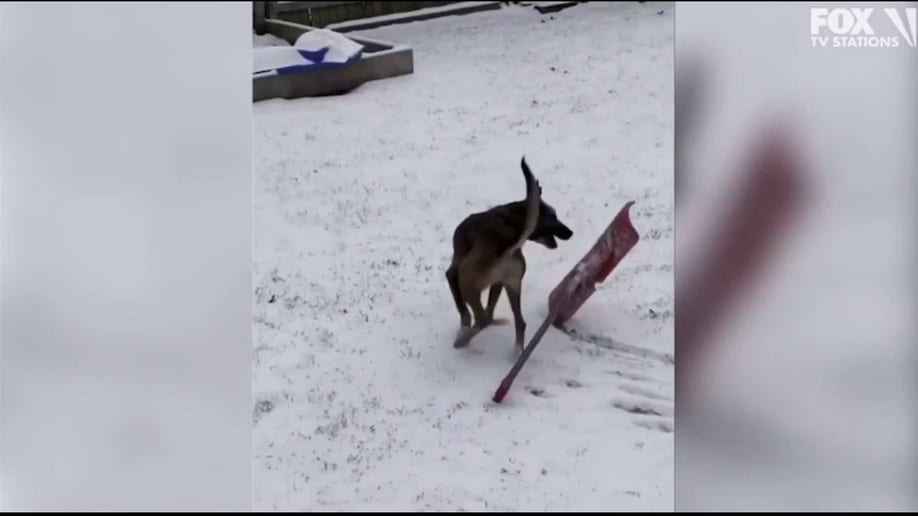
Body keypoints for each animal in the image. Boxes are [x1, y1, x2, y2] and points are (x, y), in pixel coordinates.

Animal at [448, 157, 576, 350]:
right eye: (553, 216)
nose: (570, 233)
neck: (513, 221)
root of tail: (509, 248)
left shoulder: (452, 274)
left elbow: (463, 311)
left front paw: (463, 330)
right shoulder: (499, 283)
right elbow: (488, 310)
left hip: (468, 282)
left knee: (482, 319)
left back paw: (462, 341)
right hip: (512, 285)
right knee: (518, 322)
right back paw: (516, 352)